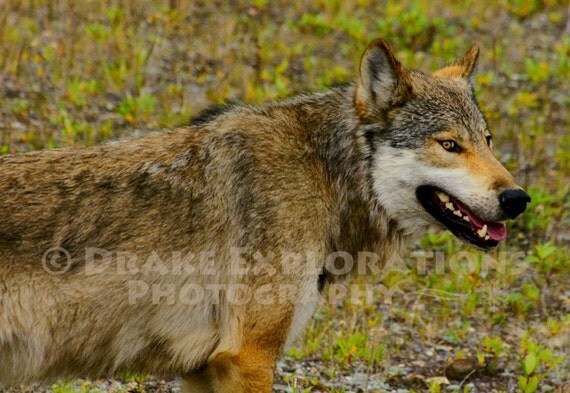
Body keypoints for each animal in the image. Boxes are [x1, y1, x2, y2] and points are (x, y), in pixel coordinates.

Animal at [0, 37, 528, 392]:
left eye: (487, 141)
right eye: (449, 145)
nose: (518, 199)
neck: (323, 173)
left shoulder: (202, 367)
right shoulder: (249, 357)